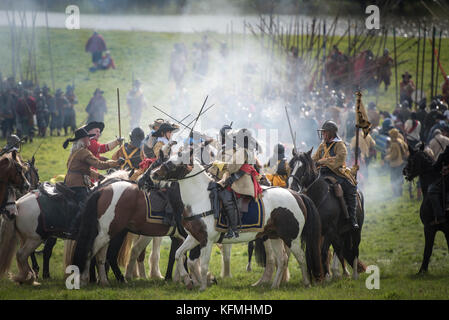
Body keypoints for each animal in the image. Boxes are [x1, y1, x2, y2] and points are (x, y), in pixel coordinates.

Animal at [150, 150, 322, 290]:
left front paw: (202, 286)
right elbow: (179, 255)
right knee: (282, 259)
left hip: (291, 238)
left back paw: (306, 283)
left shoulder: (207, 240)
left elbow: (203, 265)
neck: (199, 197)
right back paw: (274, 286)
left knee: (301, 257)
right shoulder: (194, 237)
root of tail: (296, 194)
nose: (153, 174)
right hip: (275, 237)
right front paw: (188, 280)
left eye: (172, 163)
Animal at [288, 149, 364, 278]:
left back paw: (353, 274)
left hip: (355, 231)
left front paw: (326, 277)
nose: (292, 187)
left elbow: (323, 253)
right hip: (341, 233)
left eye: (304, 167)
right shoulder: (315, 233)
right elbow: (313, 253)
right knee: (339, 249)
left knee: (354, 250)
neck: (319, 196)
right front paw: (318, 276)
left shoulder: (329, 231)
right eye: (291, 165)